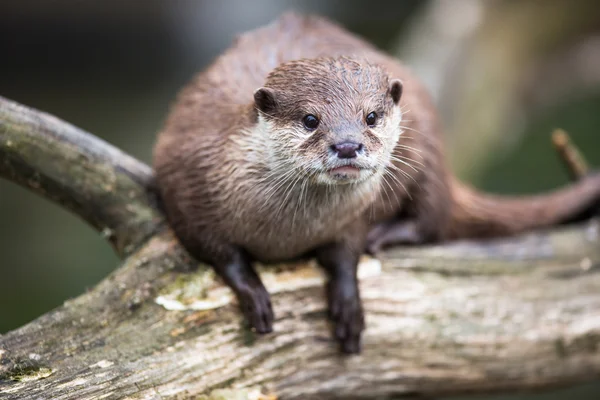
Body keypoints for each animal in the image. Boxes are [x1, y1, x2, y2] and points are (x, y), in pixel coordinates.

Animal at [154, 14, 600, 354]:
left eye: (370, 116)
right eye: (310, 119)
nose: (347, 145)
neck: (287, 230)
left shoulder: (353, 219)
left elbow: (347, 253)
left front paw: (349, 304)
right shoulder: (187, 184)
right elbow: (217, 251)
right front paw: (254, 293)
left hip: (429, 152)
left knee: (433, 216)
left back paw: (387, 234)